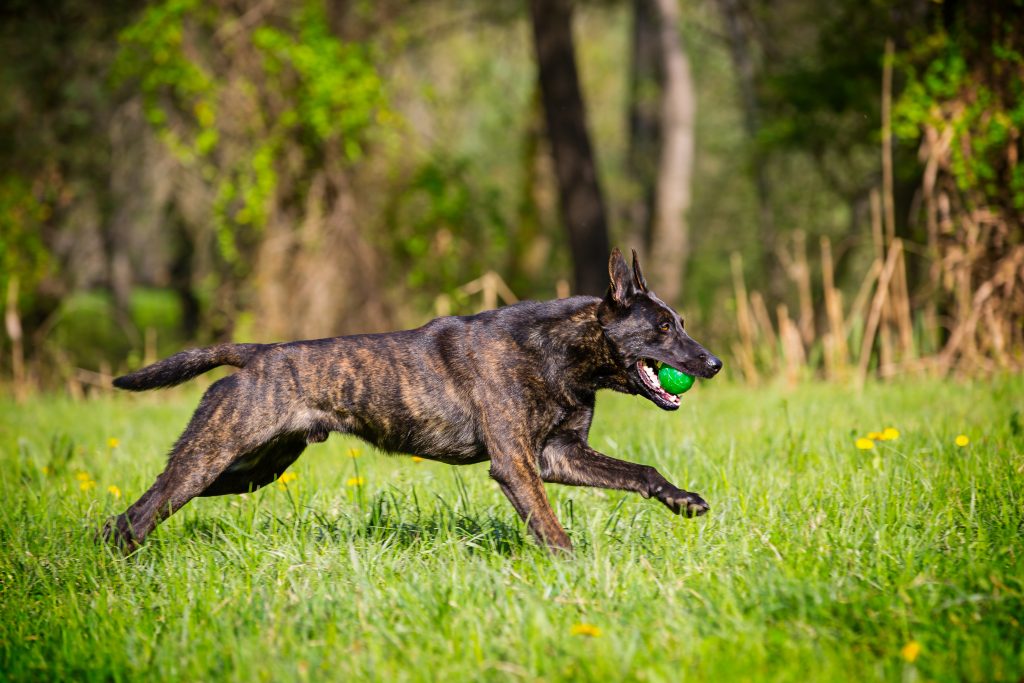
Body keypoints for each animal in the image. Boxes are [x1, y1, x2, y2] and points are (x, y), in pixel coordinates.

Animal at [101, 248, 720, 552]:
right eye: (663, 327)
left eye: (681, 323)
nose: (712, 363)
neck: (559, 352)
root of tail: (258, 355)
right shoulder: (517, 465)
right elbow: (548, 526)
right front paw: (573, 570)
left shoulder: (558, 457)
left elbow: (641, 471)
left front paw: (683, 499)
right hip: (209, 457)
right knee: (137, 515)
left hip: (247, 472)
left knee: (136, 509)